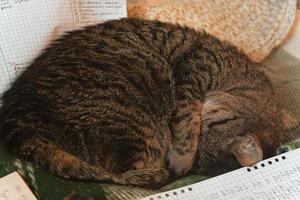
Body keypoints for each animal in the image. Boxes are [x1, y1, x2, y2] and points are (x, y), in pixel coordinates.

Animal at [0, 18, 284, 188]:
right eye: (204, 135)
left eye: (201, 165)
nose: (179, 168)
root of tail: (20, 126)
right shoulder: (194, 69)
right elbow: (186, 124)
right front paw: (181, 158)